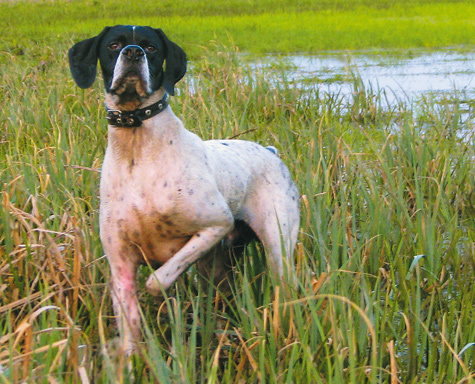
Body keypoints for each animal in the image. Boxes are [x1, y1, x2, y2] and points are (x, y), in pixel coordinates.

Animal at [69, 24, 300, 354]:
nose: (132, 53)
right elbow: (130, 330)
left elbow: (157, 280)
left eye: (151, 47)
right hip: (221, 266)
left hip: (278, 250)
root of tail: (270, 151)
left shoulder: (216, 223)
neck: (137, 150)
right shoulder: (121, 265)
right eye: (113, 45)